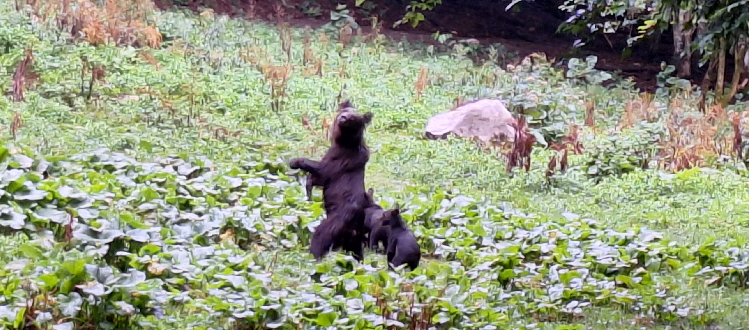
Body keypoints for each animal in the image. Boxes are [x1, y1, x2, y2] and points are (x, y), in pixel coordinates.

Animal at [290, 100, 376, 260]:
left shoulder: (338, 160)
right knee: (356, 251)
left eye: (353, 118)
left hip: (335, 223)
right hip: (354, 238)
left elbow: (322, 171)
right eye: (345, 110)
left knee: (320, 238)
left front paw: (294, 162)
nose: (343, 117)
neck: (344, 142)